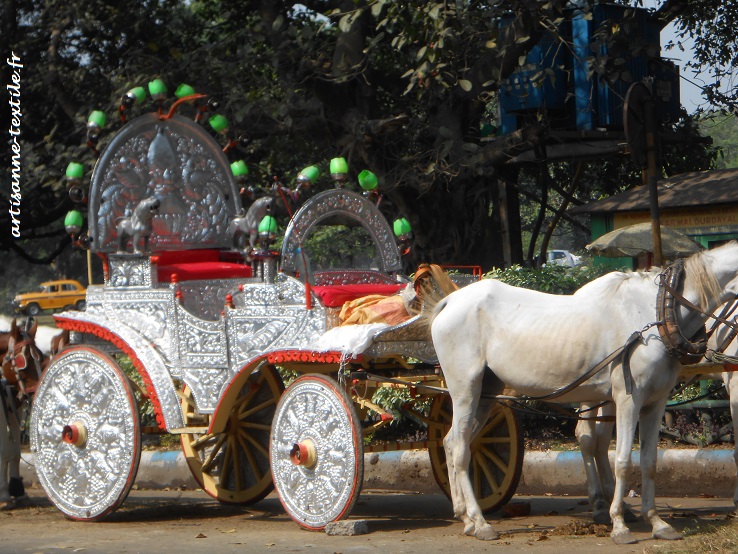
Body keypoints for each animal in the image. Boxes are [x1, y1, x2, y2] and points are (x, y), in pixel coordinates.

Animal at [426, 243, 738, 544]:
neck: (656, 310)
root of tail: (451, 301)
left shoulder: (655, 402)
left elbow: (649, 462)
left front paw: (657, 523)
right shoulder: (628, 399)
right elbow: (622, 461)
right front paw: (619, 524)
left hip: (487, 393)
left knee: (452, 442)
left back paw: (464, 516)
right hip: (465, 389)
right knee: (462, 449)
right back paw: (479, 522)